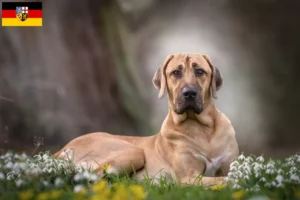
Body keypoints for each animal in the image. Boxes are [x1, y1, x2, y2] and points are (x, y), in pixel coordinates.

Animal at [54, 53, 239, 186]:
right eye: (176, 72)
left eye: (200, 71)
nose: (189, 93)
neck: (201, 129)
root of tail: (61, 149)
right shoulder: (189, 178)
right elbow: (224, 179)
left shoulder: (228, 164)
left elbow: (228, 174)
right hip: (133, 152)